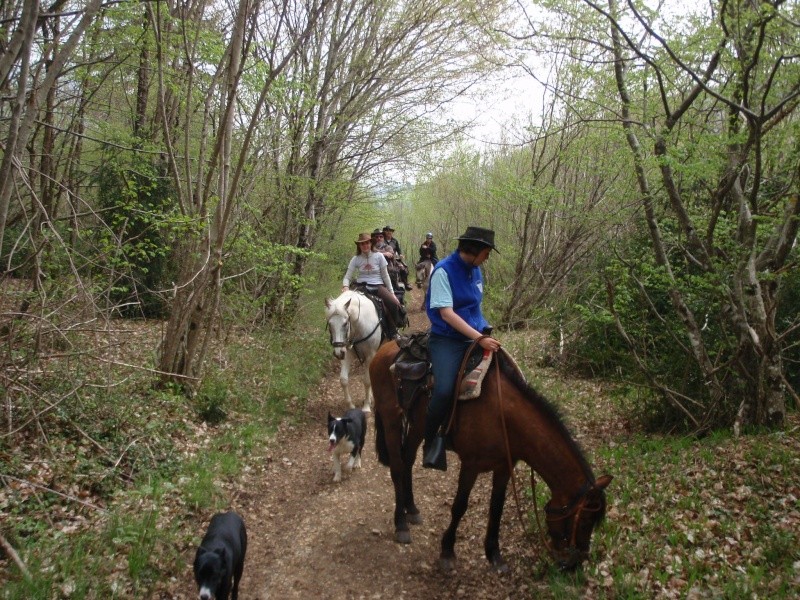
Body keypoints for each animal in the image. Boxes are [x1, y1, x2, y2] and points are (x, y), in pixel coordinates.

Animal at [368, 340, 612, 568]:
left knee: (408, 460)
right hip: (391, 421)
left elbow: (497, 508)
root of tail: (384, 349)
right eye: (584, 520)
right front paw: (447, 551)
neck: (504, 415)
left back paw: (412, 509)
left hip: (418, 426)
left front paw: (494, 554)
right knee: (397, 467)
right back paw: (401, 524)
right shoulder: (470, 465)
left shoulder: (504, 466)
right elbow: (460, 506)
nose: (575, 562)